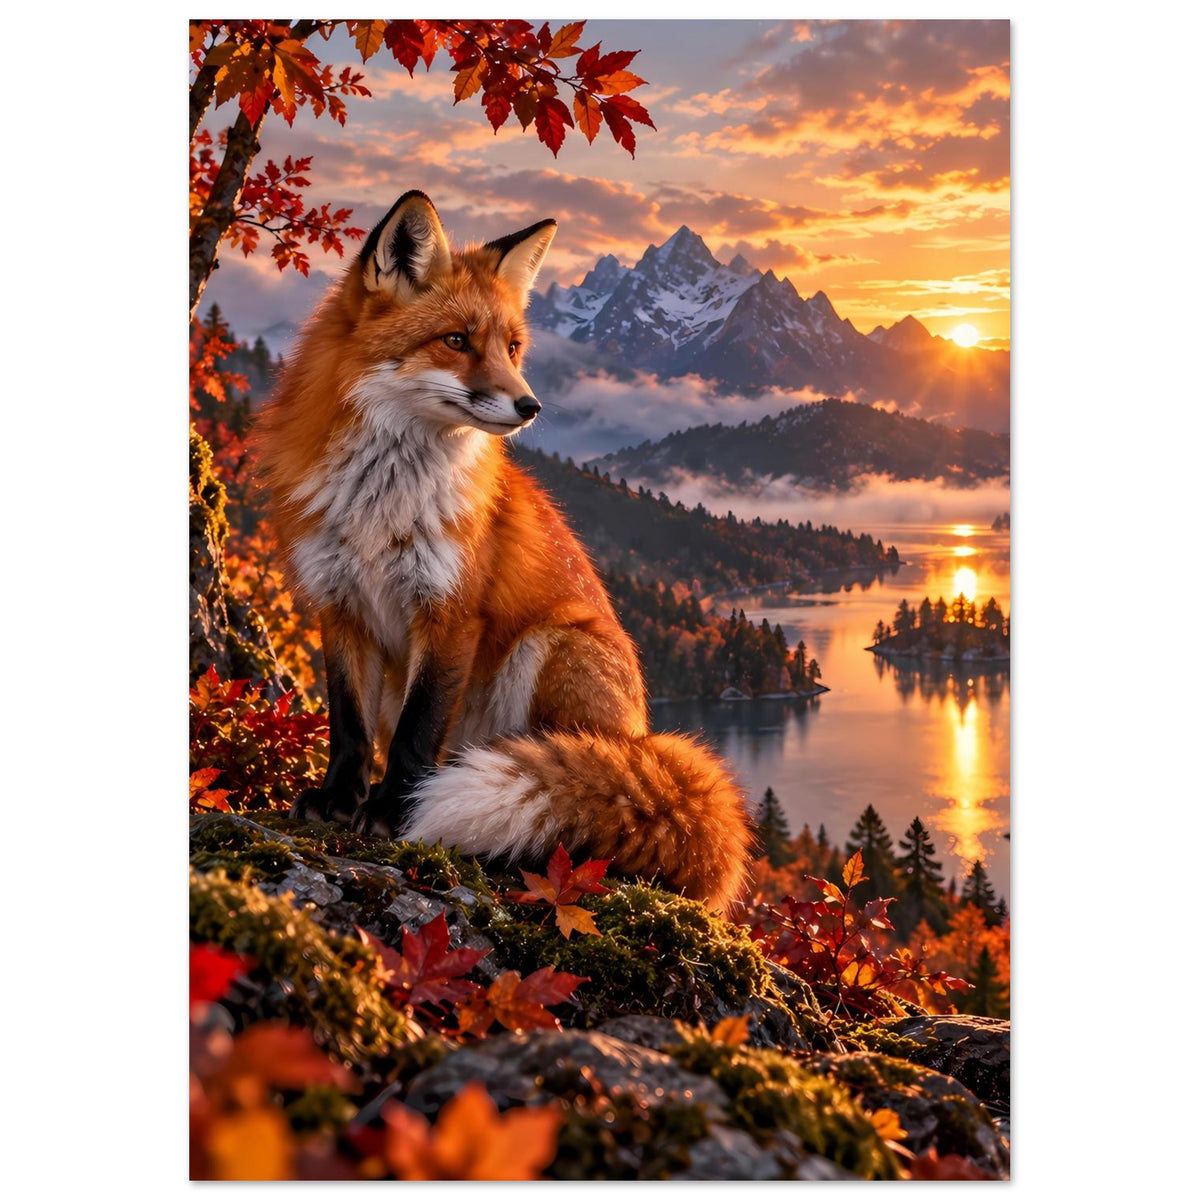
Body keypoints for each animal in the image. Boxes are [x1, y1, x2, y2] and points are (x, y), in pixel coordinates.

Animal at [254, 191, 753, 914]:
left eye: (513, 347)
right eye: (457, 340)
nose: (529, 405)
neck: (381, 504)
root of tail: (643, 737)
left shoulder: (451, 612)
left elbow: (415, 734)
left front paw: (393, 814)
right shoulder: (339, 604)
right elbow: (348, 728)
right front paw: (338, 801)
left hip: (548, 647)